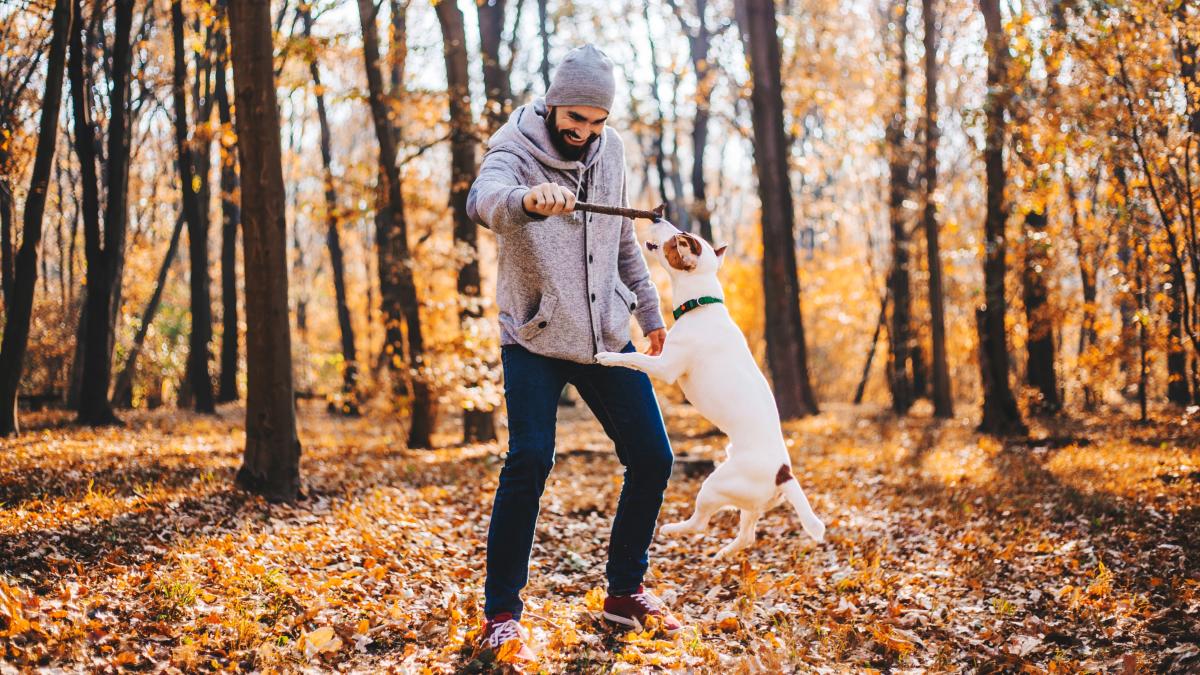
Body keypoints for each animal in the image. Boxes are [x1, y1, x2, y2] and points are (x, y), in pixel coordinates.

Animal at [592, 218, 825, 554]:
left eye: (677, 238)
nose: (658, 217)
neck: (700, 305)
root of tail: (784, 474)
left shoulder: (666, 368)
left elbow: (633, 357)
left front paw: (609, 356)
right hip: (749, 503)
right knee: (747, 535)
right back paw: (724, 552)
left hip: (713, 485)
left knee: (700, 523)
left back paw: (673, 529)